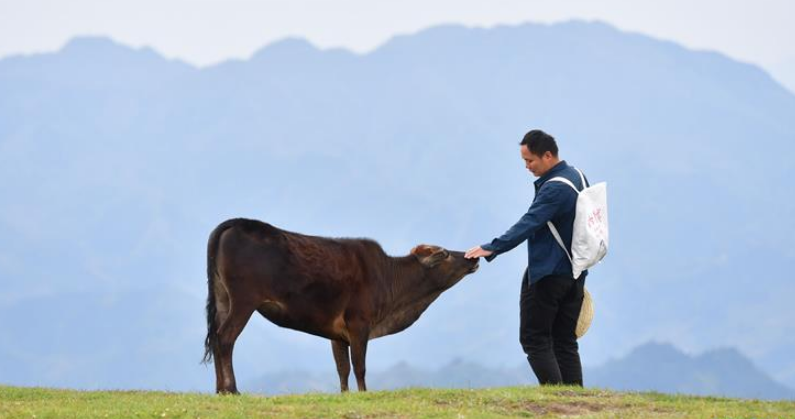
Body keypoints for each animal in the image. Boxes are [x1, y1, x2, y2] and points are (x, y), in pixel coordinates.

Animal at [202, 218, 480, 394]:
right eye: (446, 254)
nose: (472, 258)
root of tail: (234, 223)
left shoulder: (336, 334)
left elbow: (342, 368)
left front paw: (345, 394)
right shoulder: (359, 324)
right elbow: (359, 366)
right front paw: (364, 393)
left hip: (223, 299)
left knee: (215, 337)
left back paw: (219, 389)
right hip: (244, 301)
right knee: (225, 338)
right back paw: (232, 389)